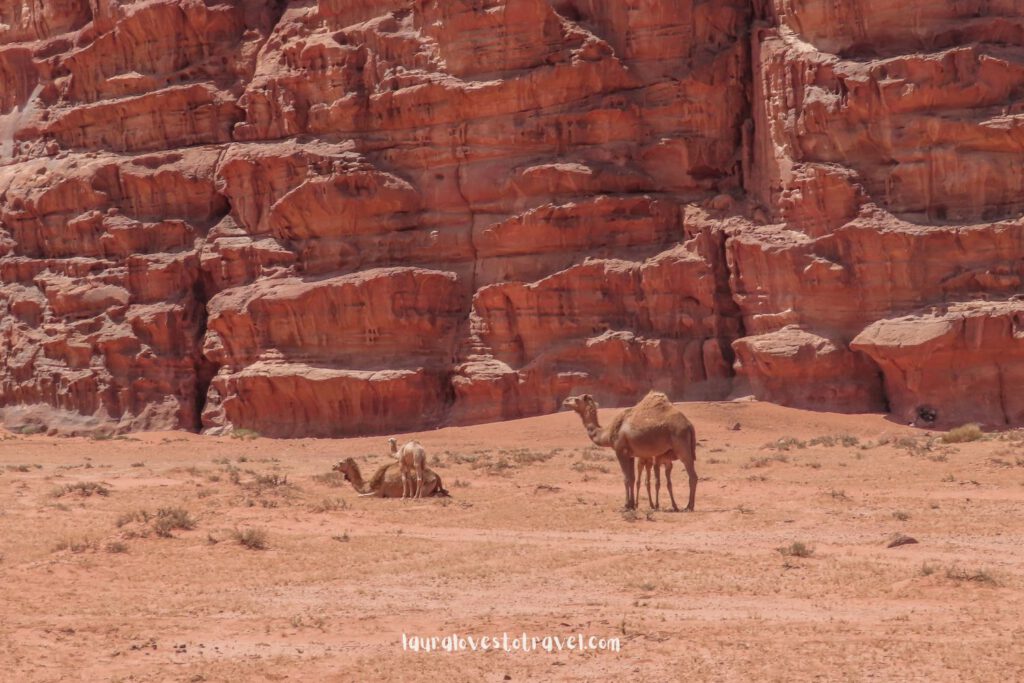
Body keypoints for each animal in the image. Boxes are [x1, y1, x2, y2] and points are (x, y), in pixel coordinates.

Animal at [565, 389, 700, 511]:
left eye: (576, 399)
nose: (565, 400)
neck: (606, 433)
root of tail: (689, 425)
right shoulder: (630, 454)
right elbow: (632, 478)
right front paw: (632, 504)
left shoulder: (620, 451)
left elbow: (626, 478)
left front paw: (625, 505)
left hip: (682, 447)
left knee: (693, 476)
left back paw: (689, 506)